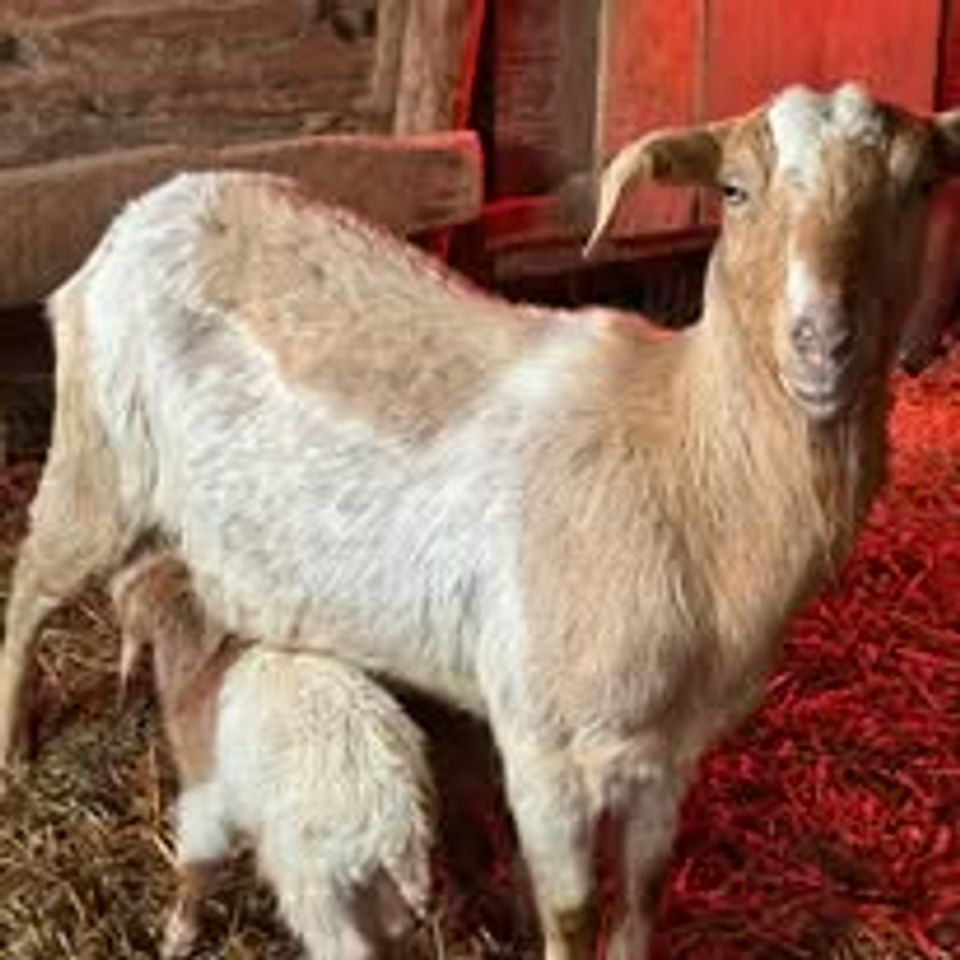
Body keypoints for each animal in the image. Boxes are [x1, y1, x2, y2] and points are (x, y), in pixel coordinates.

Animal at [110, 551, 434, 959]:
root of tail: (392, 820)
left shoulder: (204, 789)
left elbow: (198, 864)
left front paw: (178, 936)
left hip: (312, 882)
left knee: (345, 946)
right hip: (381, 880)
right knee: (394, 925)